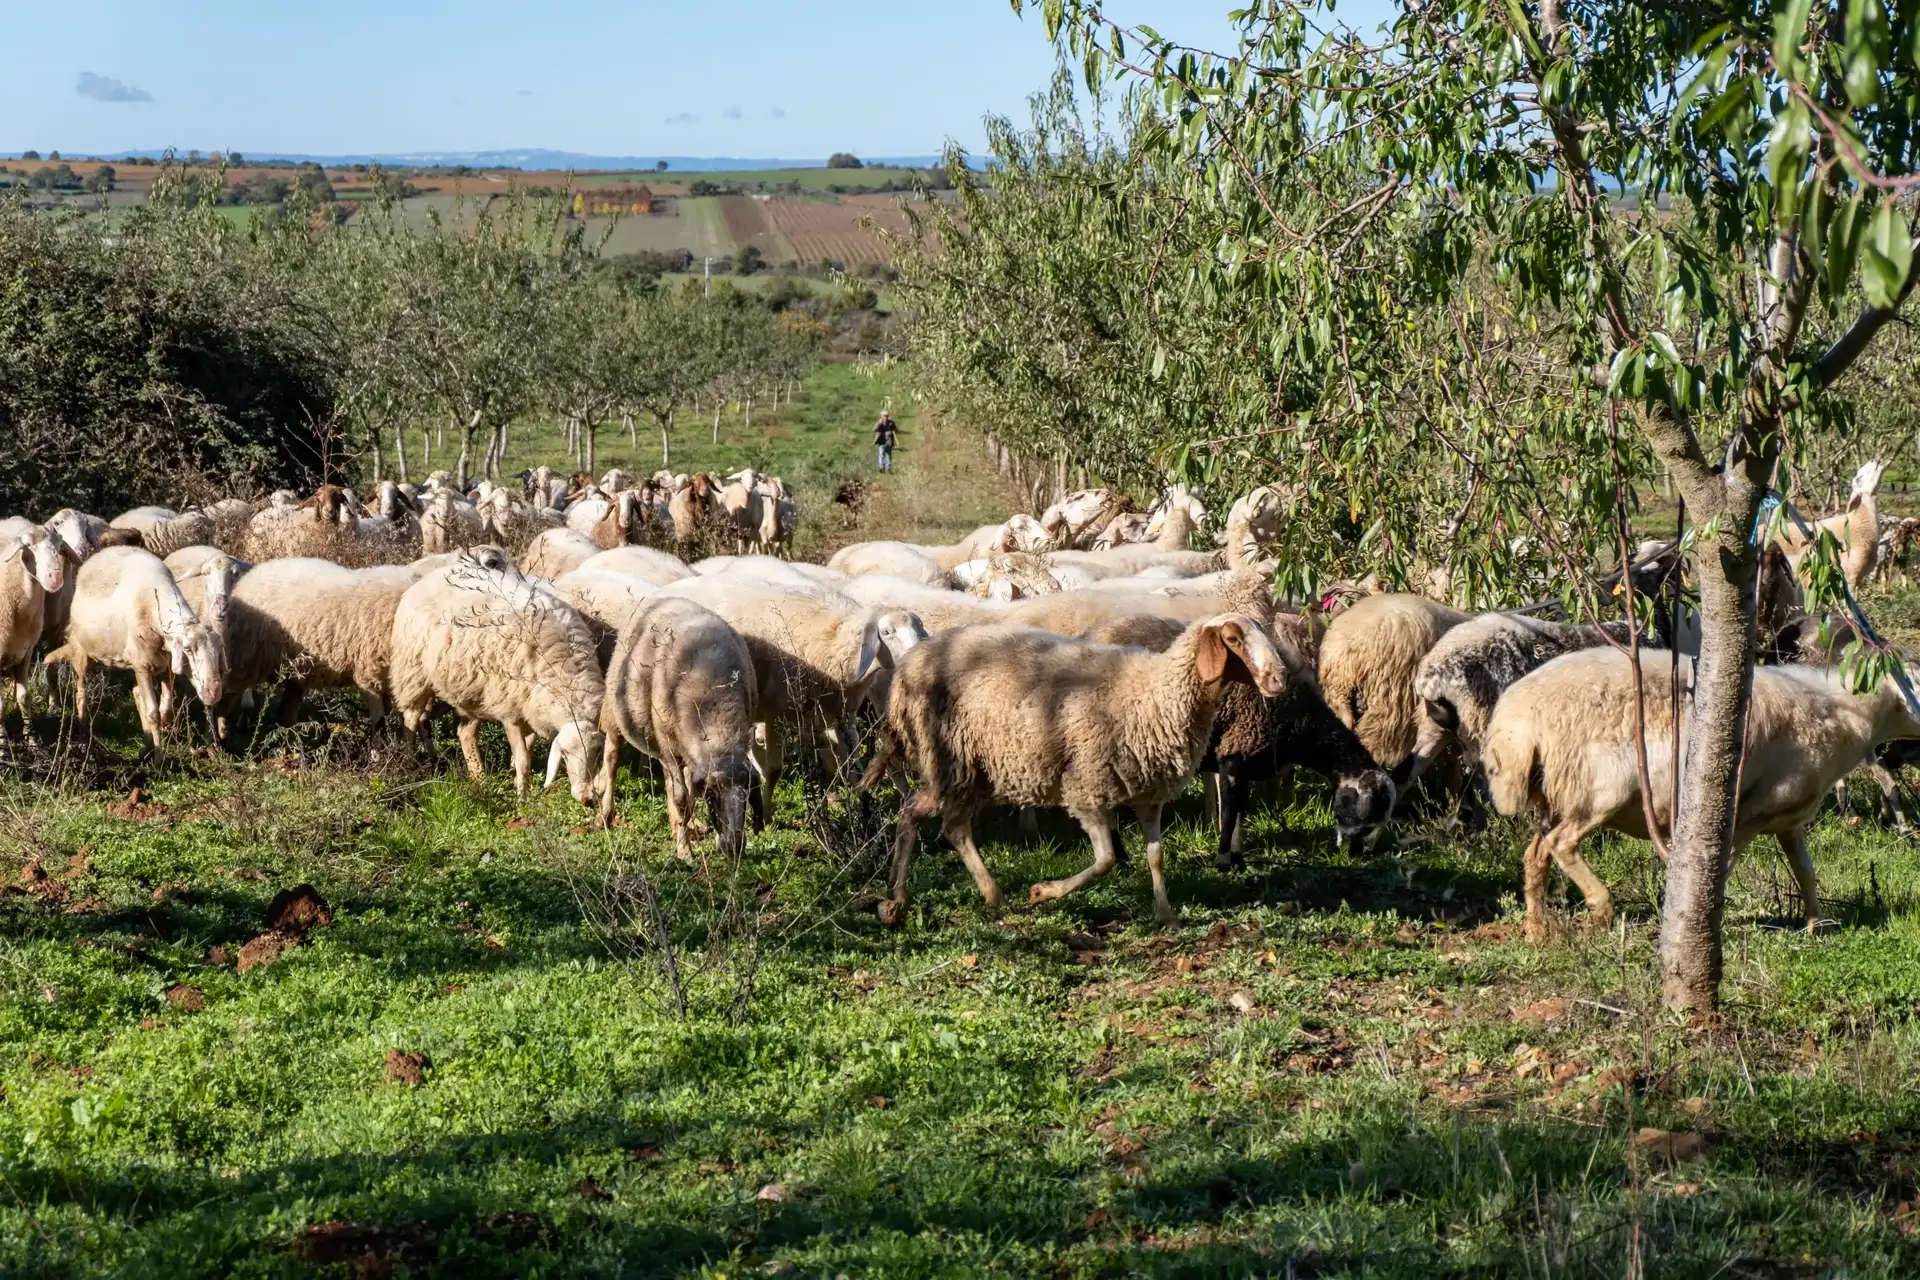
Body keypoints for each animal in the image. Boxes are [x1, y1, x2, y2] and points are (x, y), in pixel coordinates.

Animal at [47, 545, 228, 744]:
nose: (214, 691)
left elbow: (166, 709)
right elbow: (154, 714)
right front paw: (158, 752)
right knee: (81, 690)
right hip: (81, 651)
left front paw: (158, 737)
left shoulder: (166, 667)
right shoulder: (143, 668)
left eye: (220, 649)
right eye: (187, 649)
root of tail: (105, 550)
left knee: (136, 693)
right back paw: (83, 728)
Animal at [385, 548, 602, 802]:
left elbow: (527, 749)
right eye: (565, 753)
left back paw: (479, 778)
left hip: (471, 688)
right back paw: (410, 762)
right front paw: (522, 799)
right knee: (410, 718)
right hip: (412, 671)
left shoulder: (529, 706)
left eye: (597, 753)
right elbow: (523, 760)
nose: (586, 797)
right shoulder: (510, 711)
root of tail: (434, 575)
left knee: (464, 732)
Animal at [591, 594, 756, 855]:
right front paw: (684, 851)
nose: (734, 846)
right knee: (612, 759)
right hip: (617, 712)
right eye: (712, 792)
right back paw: (605, 816)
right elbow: (681, 798)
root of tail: (663, 597)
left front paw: (685, 833)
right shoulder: (670, 747)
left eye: (749, 790)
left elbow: (686, 794)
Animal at [1482, 652, 1920, 940]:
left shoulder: (1788, 818)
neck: (1844, 715)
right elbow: (1720, 872)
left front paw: (1818, 925)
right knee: (1562, 844)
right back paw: (1602, 908)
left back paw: (1537, 928)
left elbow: (1805, 872)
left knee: (1535, 853)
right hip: (1597, 791)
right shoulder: (1747, 816)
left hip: (1558, 794)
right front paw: (1705, 923)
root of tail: (1514, 724)